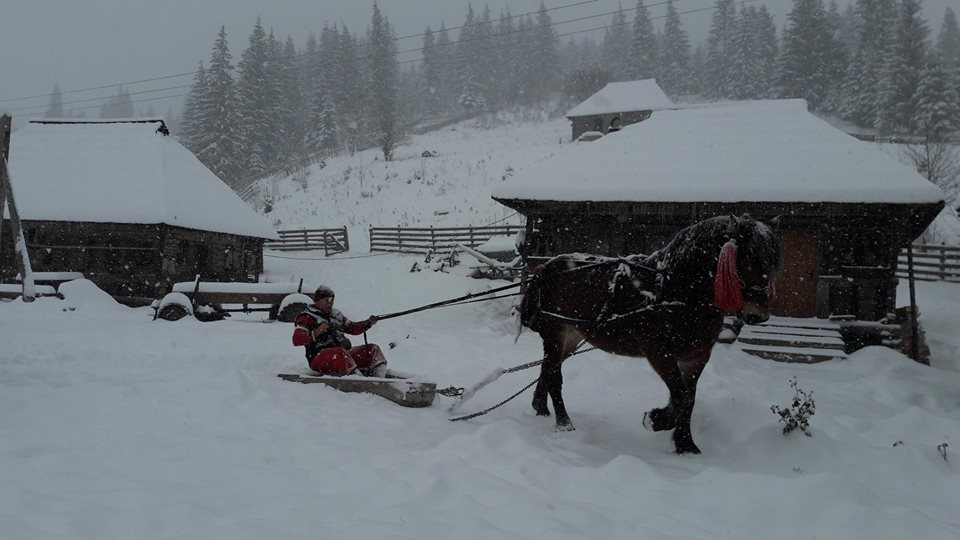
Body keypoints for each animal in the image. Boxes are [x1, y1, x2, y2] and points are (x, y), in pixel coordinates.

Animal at [516, 213, 780, 454]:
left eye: (772, 262)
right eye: (746, 258)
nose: (759, 314)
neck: (678, 289)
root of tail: (545, 267)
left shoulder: (697, 355)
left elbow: (689, 399)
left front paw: (685, 444)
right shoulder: (659, 351)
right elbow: (681, 397)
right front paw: (656, 420)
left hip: (571, 336)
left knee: (547, 368)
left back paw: (541, 408)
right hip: (556, 333)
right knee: (554, 376)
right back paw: (564, 423)